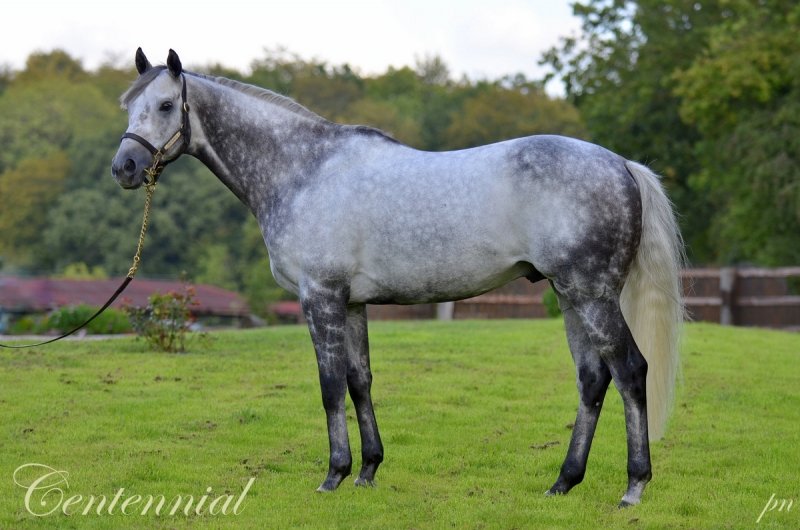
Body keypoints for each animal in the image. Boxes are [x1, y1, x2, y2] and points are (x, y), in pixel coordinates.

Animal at [112, 49, 683, 507]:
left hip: (592, 295)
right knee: (592, 379)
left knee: (630, 371)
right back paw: (563, 483)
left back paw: (633, 487)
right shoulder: (351, 303)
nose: (125, 167)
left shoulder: (320, 297)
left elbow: (329, 386)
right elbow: (359, 381)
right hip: (569, 295)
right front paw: (366, 471)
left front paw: (333, 476)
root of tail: (621, 165)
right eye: (128, 104)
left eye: (166, 106)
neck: (303, 172)